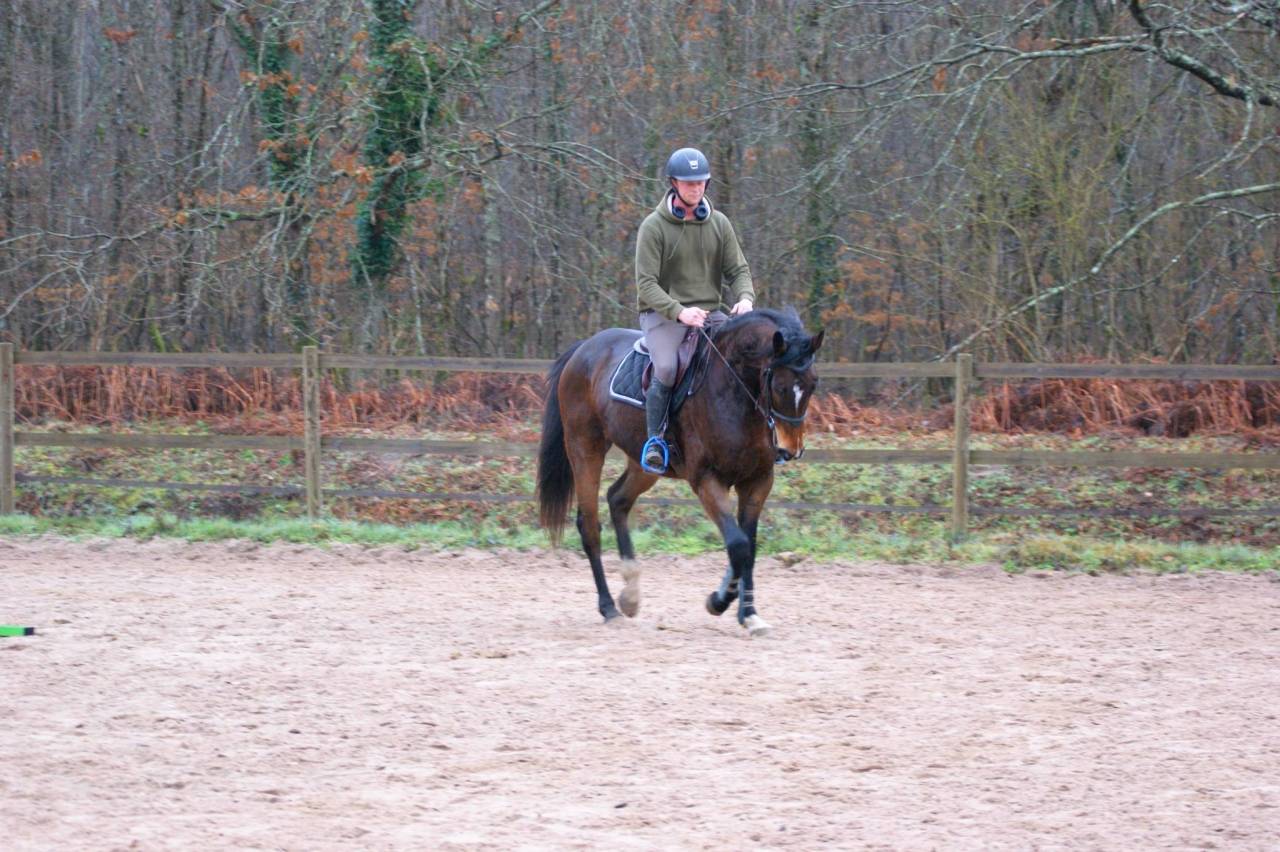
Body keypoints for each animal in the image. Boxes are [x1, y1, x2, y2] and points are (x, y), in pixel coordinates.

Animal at [536, 308, 823, 637]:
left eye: (813, 384)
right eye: (779, 386)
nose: (791, 450)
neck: (734, 391)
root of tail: (583, 349)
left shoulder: (758, 481)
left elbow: (748, 547)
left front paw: (749, 613)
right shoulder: (707, 480)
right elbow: (738, 546)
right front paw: (718, 601)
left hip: (644, 463)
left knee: (618, 499)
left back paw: (630, 595)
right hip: (586, 448)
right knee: (590, 526)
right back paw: (609, 608)